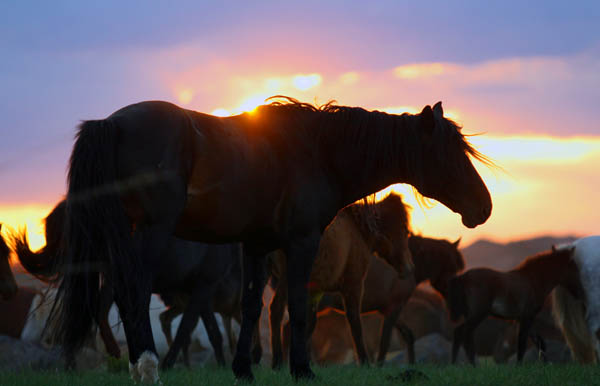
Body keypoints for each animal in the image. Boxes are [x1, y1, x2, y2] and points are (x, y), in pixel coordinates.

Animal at [12, 201, 255, 370]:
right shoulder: (203, 287)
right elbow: (189, 328)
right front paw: (170, 363)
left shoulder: (200, 290)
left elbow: (205, 329)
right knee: (90, 313)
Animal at [268, 193, 412, 368]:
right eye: (404, 229)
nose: (409, 268)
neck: (357, 229)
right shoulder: (354, 284)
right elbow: (354, 322)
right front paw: (364, 361)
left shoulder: (316, 290)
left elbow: (309, 324)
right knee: (276, 310)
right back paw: (277, 362)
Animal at [448, 244, 580, 364]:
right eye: (574, 267)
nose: (578, 292)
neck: (533, 280)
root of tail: (464, 277)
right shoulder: (527, 316)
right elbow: (522, 343)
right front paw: (519, 366)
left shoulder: (524, 318)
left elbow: (540, 342)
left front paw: (546, 364)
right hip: (478, 314)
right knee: (463, 333)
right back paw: (469, 365)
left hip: (471, 314)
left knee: (460, 334)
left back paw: (456, 364)